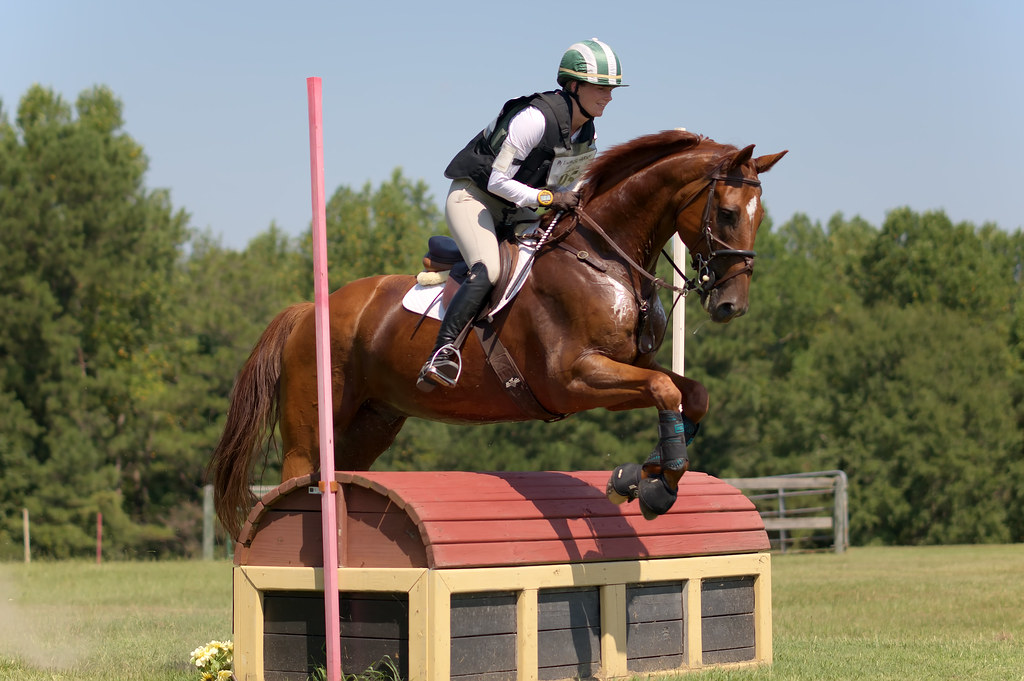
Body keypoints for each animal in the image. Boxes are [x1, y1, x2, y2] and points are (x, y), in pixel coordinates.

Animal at [209, 130, 786, 538]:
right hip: (310, 431)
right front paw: (656, 489)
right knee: (291, 484)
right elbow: (667, 390)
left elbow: (691, 393)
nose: (731, 305)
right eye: (727, 214)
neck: (603, 256)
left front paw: (638, 476)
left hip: (372, 424)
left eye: (760, 218)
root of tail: (309, 309)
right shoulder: (573, 380)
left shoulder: (625, 369)